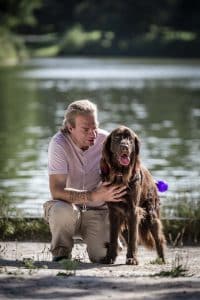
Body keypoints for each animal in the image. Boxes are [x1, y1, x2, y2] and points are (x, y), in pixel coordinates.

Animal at [100, 125, 166, 264]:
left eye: (130, 139)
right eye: (117, 137)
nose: (124, 146)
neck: (120, 174)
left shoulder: (133, 210)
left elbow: (133, 239)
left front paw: (132, 259)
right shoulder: (114, 212)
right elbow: (113, 237)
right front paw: (110, 257)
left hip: (151, 215)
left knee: (158, 239)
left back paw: (161, 260)